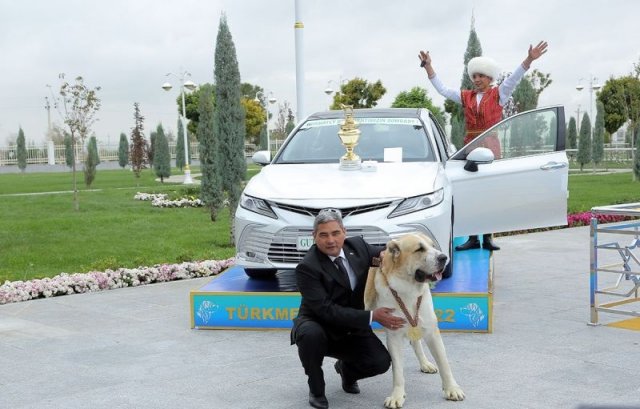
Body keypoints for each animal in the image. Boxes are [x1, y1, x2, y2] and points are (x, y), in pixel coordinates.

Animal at [364, 233, 464, 408]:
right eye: (419, 249)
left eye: (433, 246)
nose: (444, 257)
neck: (408, 289)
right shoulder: (394, 335)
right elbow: (397, 370)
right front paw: (397, 395)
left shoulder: (431, 330)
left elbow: (444, 363)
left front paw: (452, 389)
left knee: (416, 342)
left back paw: (425, 363)